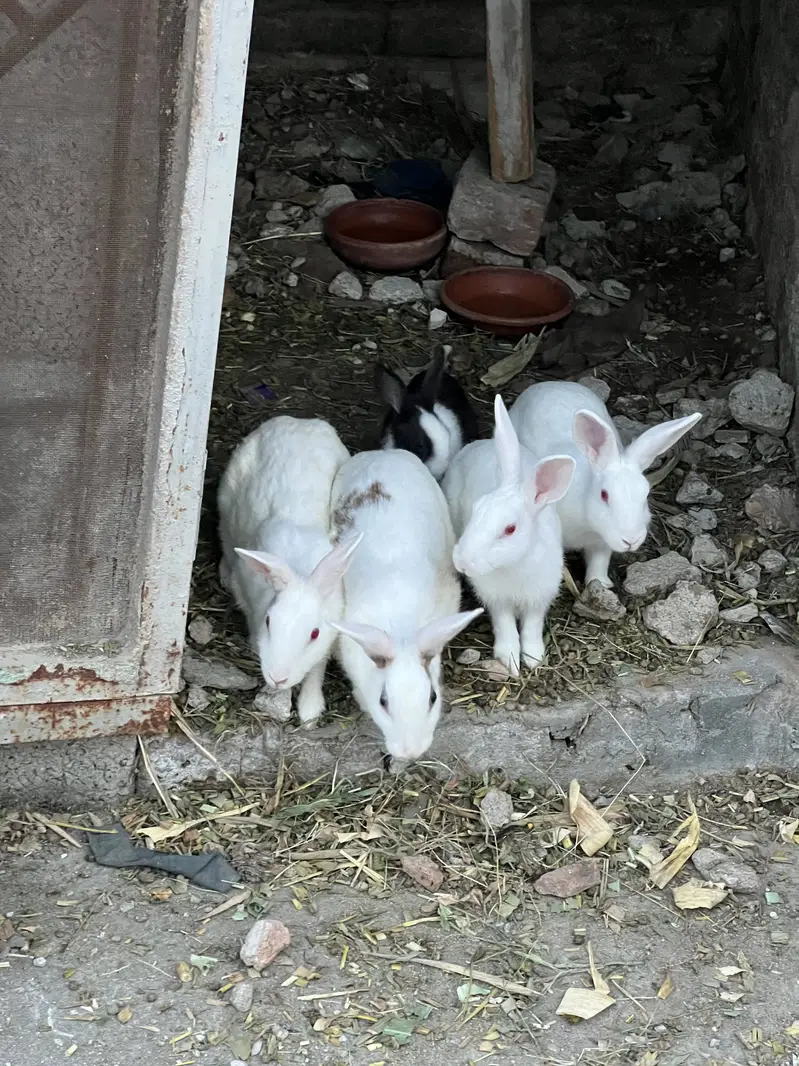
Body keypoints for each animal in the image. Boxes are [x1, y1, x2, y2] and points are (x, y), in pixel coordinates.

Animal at [218, 415, 360, 726]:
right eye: (269, 621)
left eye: (314, 633)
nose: (278, 677)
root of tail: (298, 421)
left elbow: (317, 667)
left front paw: (309, 712)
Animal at [443, 395, 575, 676]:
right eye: (476, 508)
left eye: (510, 529)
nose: (463, 561)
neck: (513, 565)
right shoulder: (496, 600)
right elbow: (504, 625)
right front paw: (510, 659)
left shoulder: (539, 597)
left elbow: (532, 626)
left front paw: (534, 658)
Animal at [509, 381, 702, 588]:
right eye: (604, 495)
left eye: (646, 495)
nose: (631, 540)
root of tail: (548, 384)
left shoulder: (601, 544)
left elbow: (598, 562)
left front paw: (600, 584)